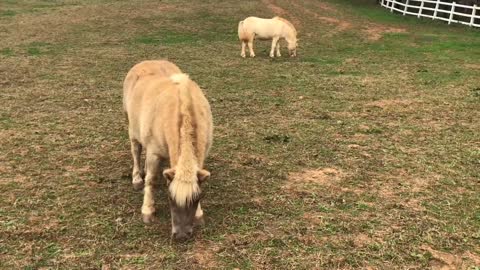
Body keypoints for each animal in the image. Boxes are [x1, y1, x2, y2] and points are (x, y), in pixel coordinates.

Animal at [123, 59, 213, 240]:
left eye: (197, 198)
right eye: (170, 199)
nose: (182, 235)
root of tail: (148, 61)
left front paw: (199, 214)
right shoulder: (154, 153)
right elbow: (150, 180)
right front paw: (147, 211)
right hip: (132, 129)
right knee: (136, 151)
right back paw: (137, 178)